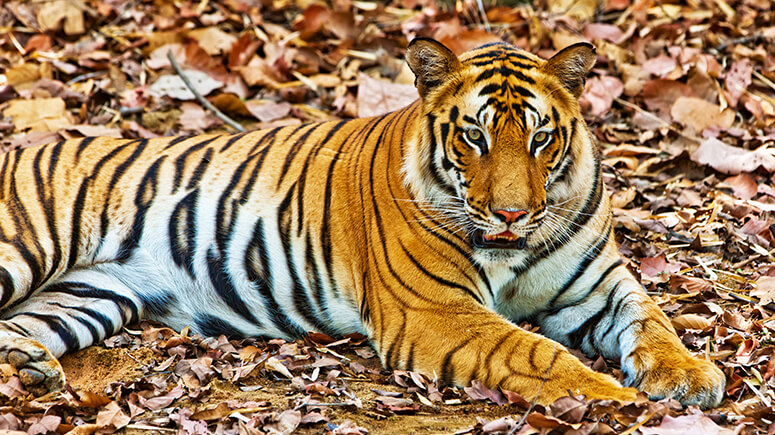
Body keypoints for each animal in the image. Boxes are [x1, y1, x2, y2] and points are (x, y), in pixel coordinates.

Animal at [1, 37, 728, 408]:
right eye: (475, 137)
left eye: (540, 139)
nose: (511, 212)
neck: (515, 249)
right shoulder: (438, 312)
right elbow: (533, 351)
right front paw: (613, 396)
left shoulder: (597, 285)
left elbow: (652, 320)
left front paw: (689, 375)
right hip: (24, 251)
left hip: (88, 295)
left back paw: (32, 369)